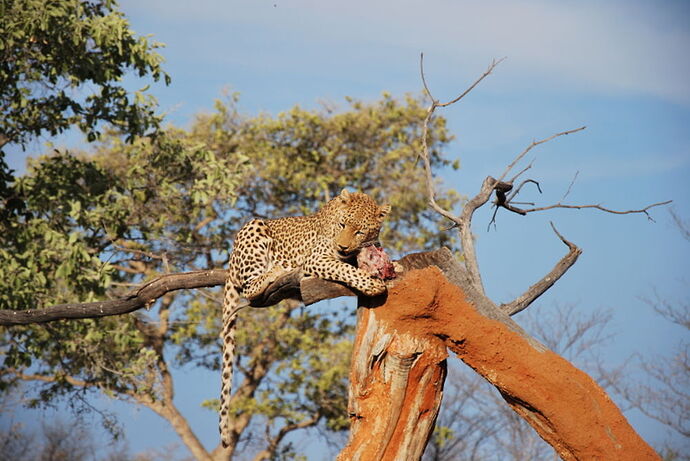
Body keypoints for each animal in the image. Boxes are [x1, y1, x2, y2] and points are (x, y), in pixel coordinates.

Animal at [220, 189, 392, 448]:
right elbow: (345, 269)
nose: (342, 247)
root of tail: (230, 261)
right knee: (250, 288)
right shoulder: (317, 259)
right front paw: (371, 284)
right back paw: (276, 270)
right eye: (342, 225)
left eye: (360, 231)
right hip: (255, 227)